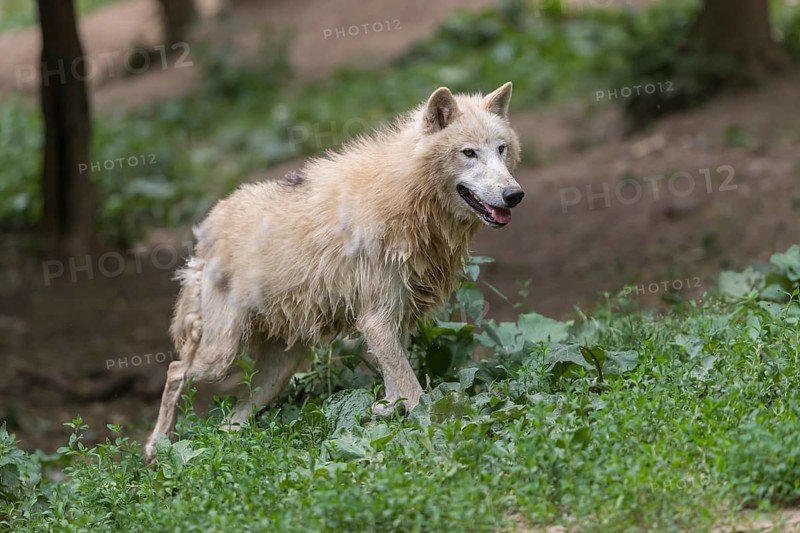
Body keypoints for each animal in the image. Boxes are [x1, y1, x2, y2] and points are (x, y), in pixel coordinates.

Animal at [145, 82, 524, 463]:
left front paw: (385, 413)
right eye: (469, 152)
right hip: (220, 356)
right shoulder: (376, 319)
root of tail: (208, 225)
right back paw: (154, 448)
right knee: (176, 371)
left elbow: (396, 383)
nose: (514, 194)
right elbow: (415, 393)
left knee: (233, 415)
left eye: (501, 149)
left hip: (279, 371)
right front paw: (433, 430)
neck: (406, 195)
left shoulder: (396, 319)